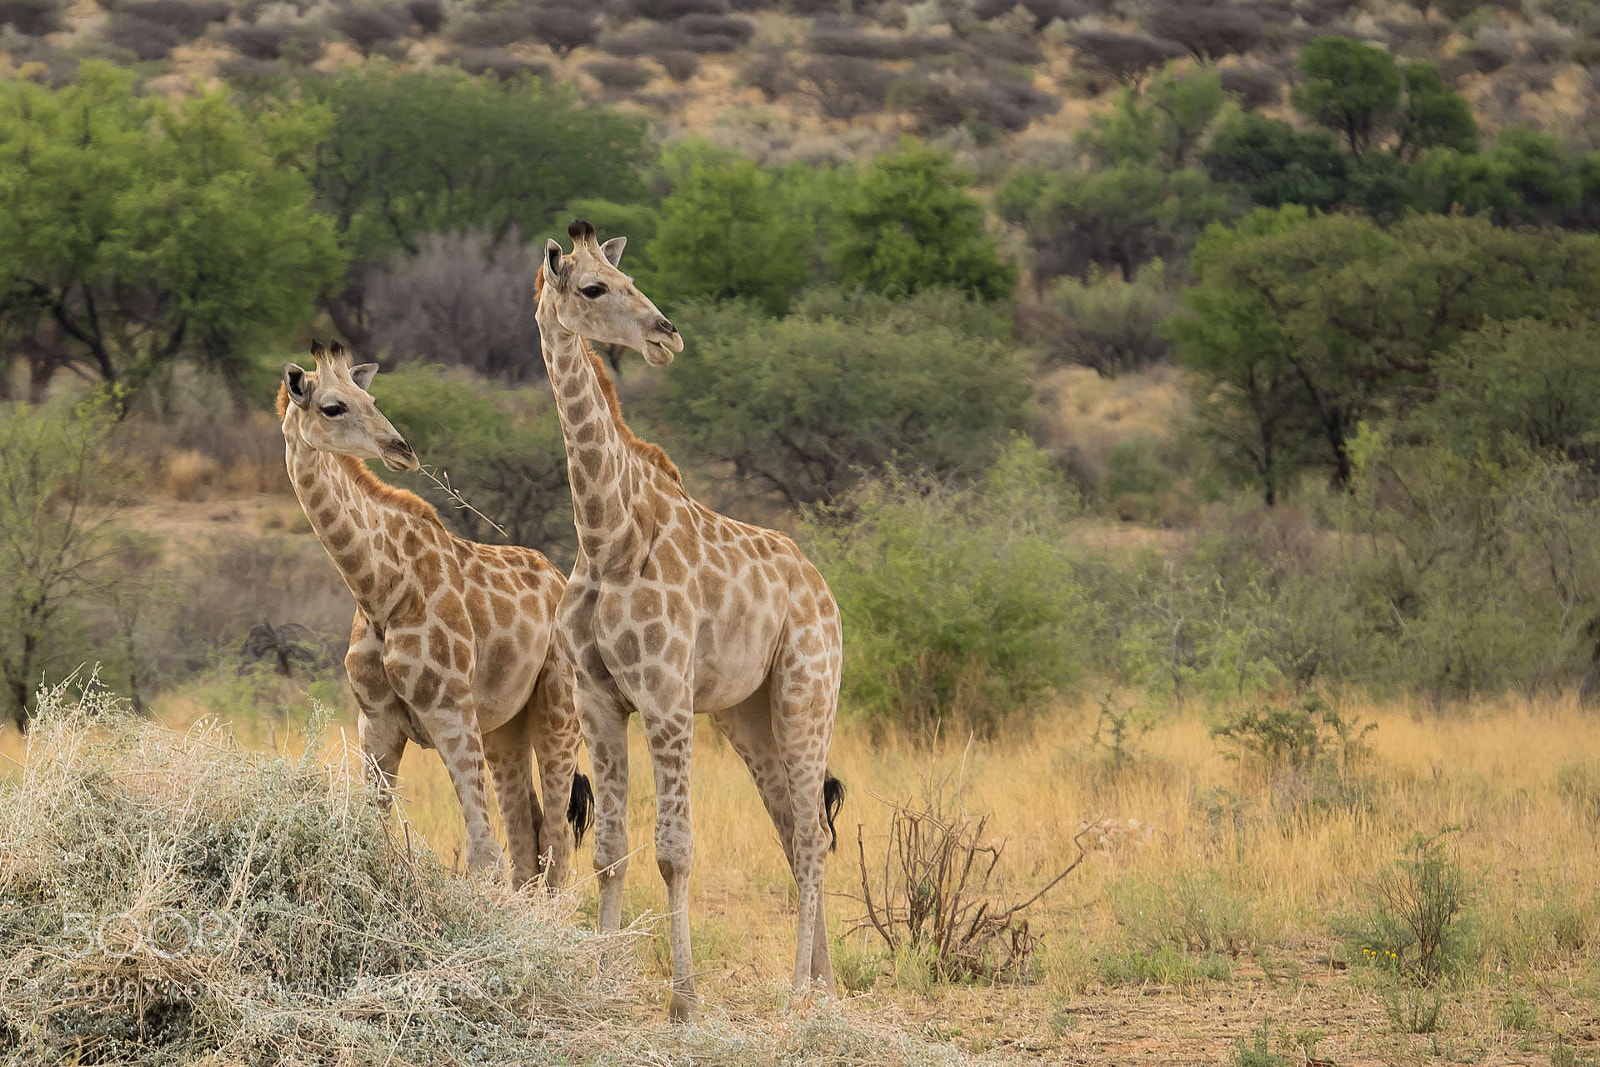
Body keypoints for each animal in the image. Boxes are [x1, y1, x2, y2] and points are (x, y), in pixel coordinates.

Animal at [278, 340, 593, 890]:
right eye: (332, 407)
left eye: (372, 397)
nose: (401, 448)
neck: (379, 589)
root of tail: (560, 581)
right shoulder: (376, 723)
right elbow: (374, 834)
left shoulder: (450, 712)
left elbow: (483, 853)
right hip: (504, 727)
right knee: (528, 833)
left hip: (557, 709)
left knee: (555, 839)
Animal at [535, 221, 845, 1020]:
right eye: (594, 287)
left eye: (631, 278)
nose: (665, 334)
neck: (605, 535)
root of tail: (823, 589)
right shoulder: (598, 699)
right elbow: (609, 850)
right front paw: (604, 980)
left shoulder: (667, 698)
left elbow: (674, 852)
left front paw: (684, 1001)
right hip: (747, 713)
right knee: (792, 828)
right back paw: (824, 985)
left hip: (807, 694)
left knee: (809, 837)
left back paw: (798, 995)